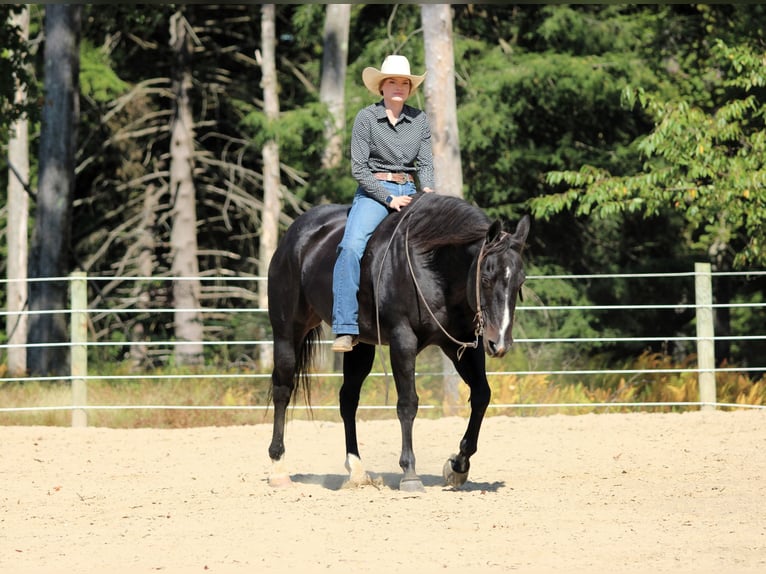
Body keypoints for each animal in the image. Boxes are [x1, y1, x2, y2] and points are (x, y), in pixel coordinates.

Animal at [266, 192, 530, 491]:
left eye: (520, 281)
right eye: (485, 278)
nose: (500, 343)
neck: (430, 264)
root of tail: (294, 236)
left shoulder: (460, 345)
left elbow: (482, 395)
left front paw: (458, 466)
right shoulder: (402, 340)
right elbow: (407, 403)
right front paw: (410, 473)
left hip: (360, 347)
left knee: (348, 399)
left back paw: (357, 470)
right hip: (288, 332)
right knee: (282, 390)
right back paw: (278, 468)